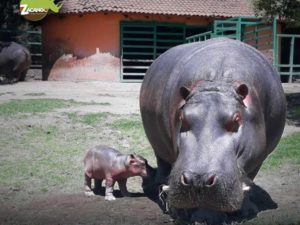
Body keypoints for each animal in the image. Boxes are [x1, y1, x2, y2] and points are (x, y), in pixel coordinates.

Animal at [141, 38, 286, 216]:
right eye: (182, 117)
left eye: (237, 119)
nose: (197, 179)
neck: (218, 82)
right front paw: (204, 217)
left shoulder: (259, 156)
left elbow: (248, 180)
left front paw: (246, 211)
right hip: (157, 143)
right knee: (162, 162)